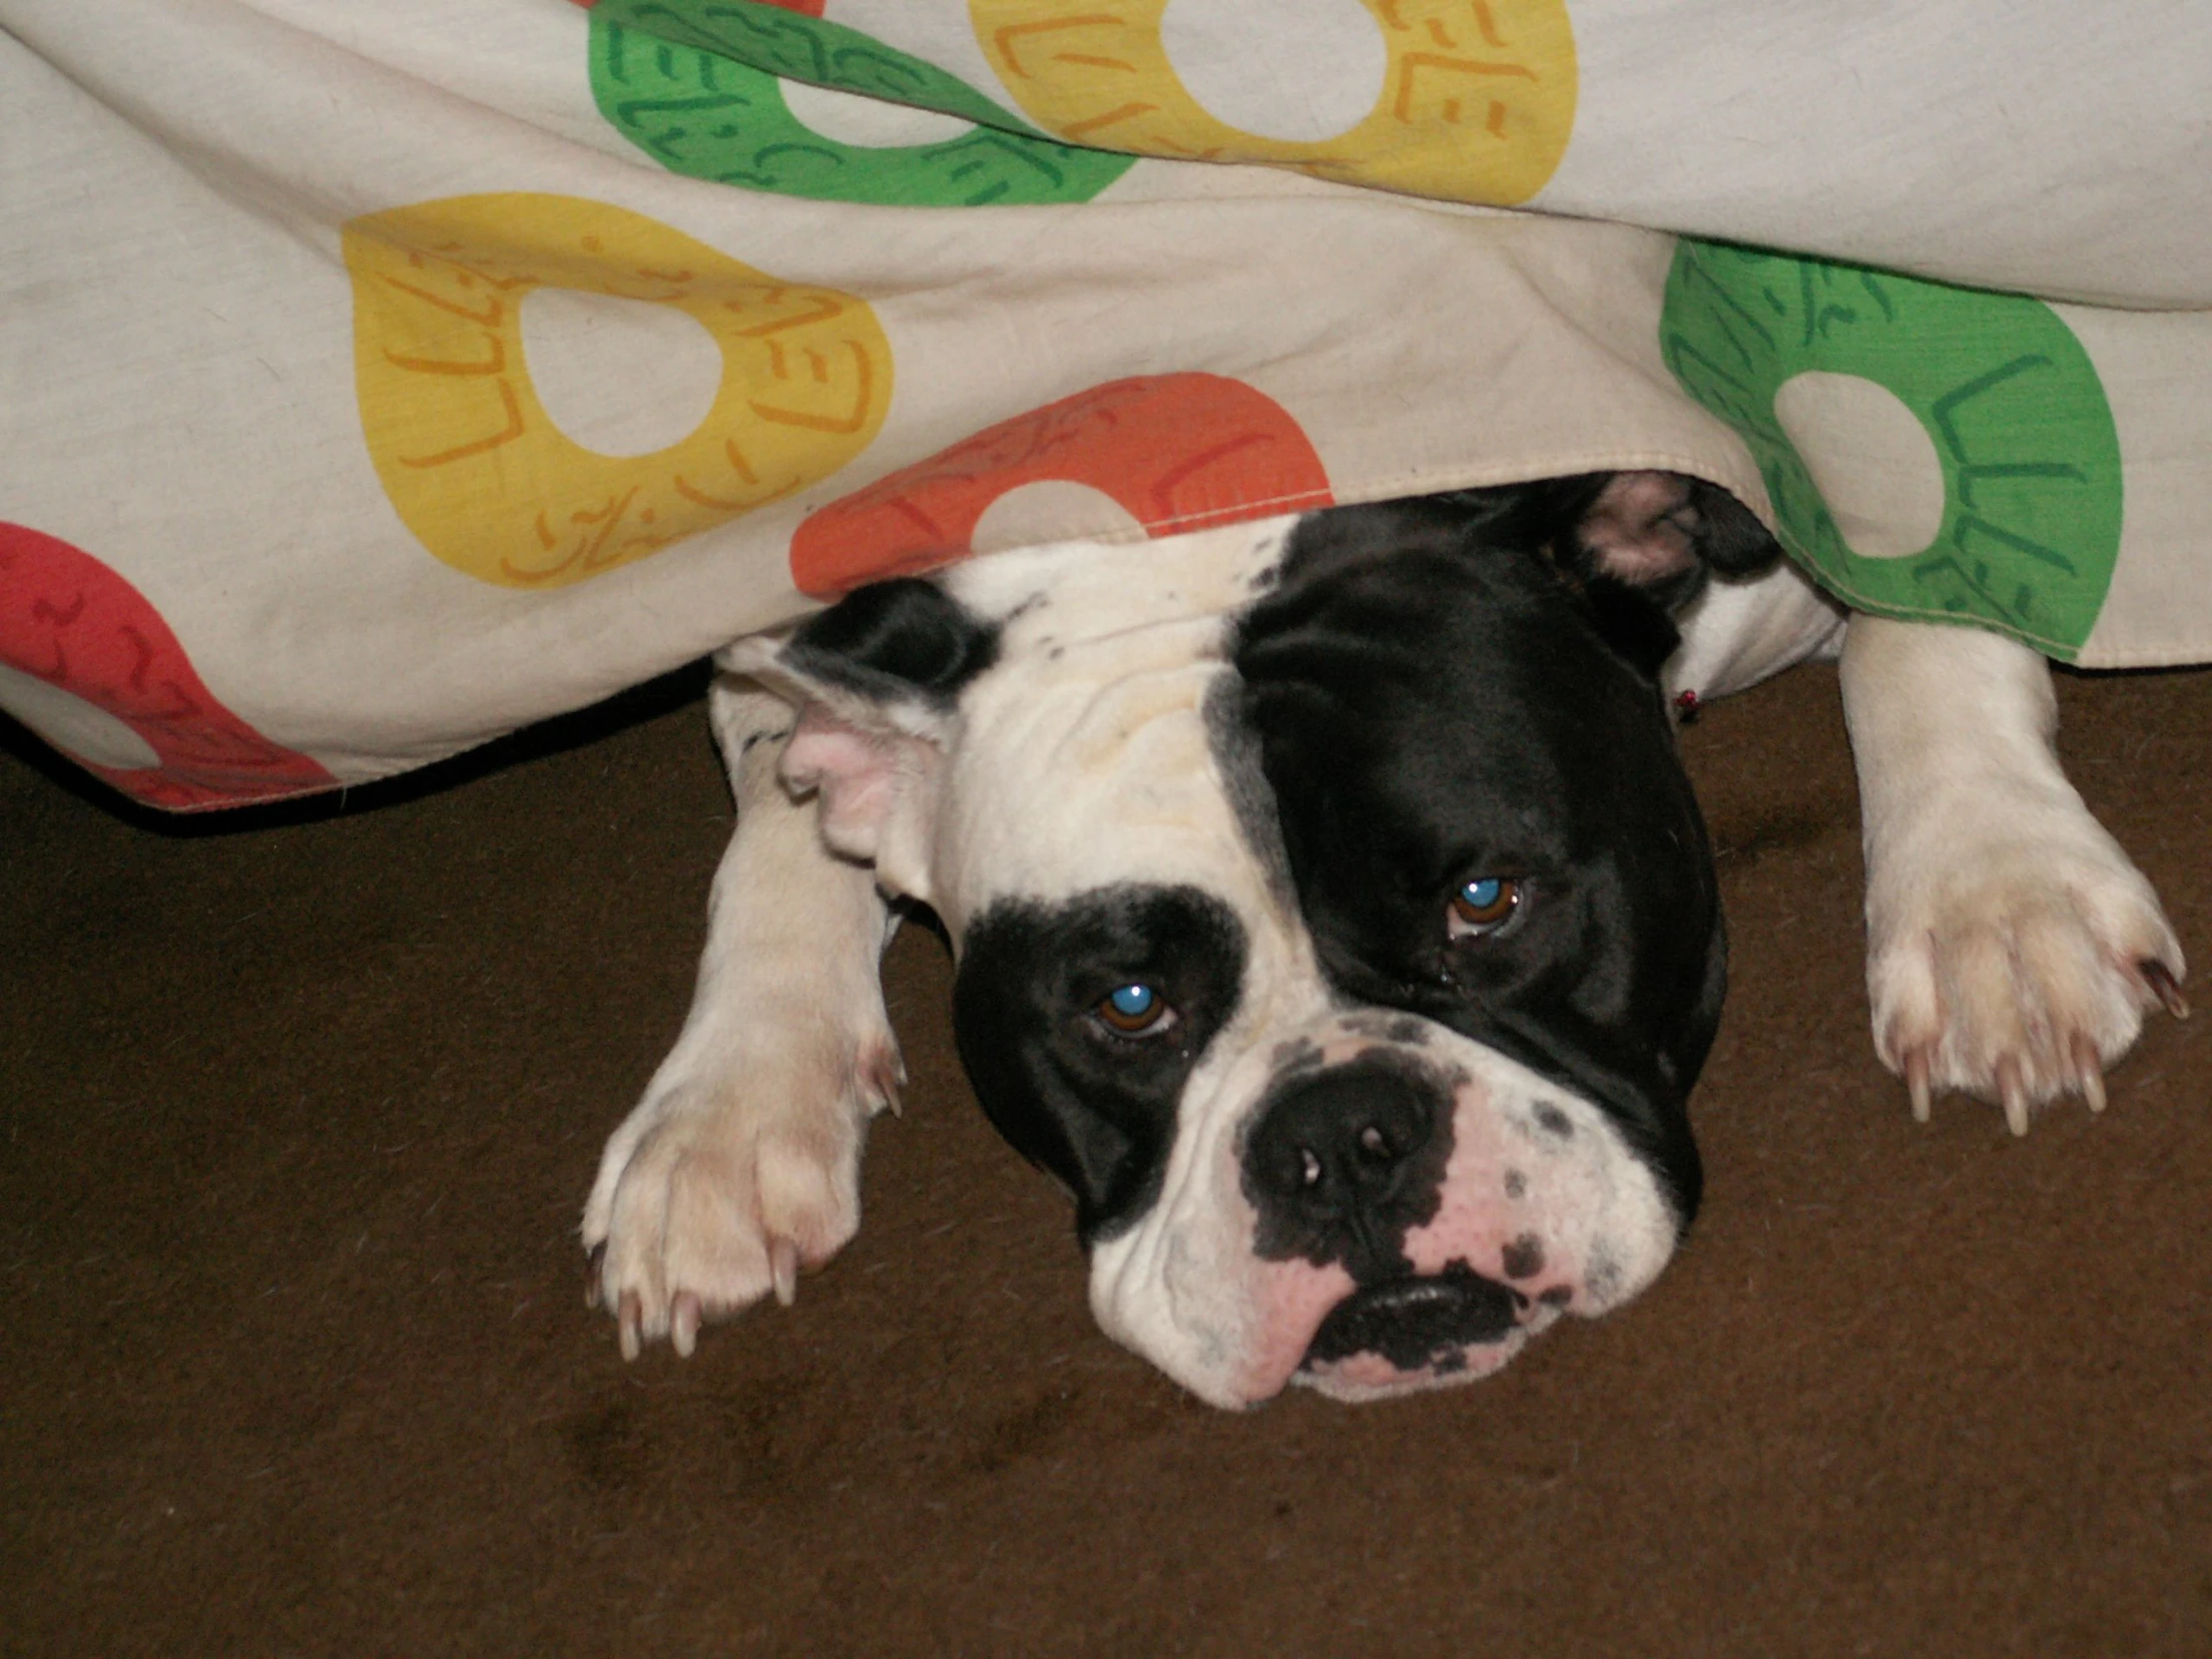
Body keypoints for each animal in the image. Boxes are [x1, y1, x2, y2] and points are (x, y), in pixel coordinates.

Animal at [579, 473, 2185, 1406]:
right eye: (1128, 1002)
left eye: (1488, 900)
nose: (1337, 1140)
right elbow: (781, 794)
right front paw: (729, 1114)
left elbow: (1923, 582)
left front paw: (1995, 896)